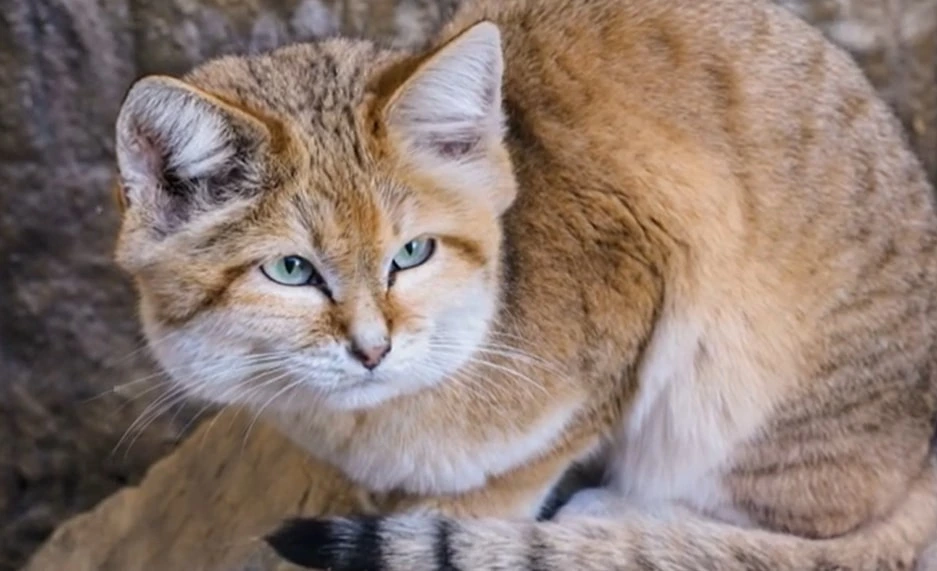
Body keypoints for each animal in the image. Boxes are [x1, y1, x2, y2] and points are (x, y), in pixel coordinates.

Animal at [111, 0, 936, 568]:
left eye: (412, 252)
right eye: (290, 269)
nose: (373, 350)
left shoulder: (644, 289)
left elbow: (527, 468)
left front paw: (468, 517)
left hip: (736, 391)